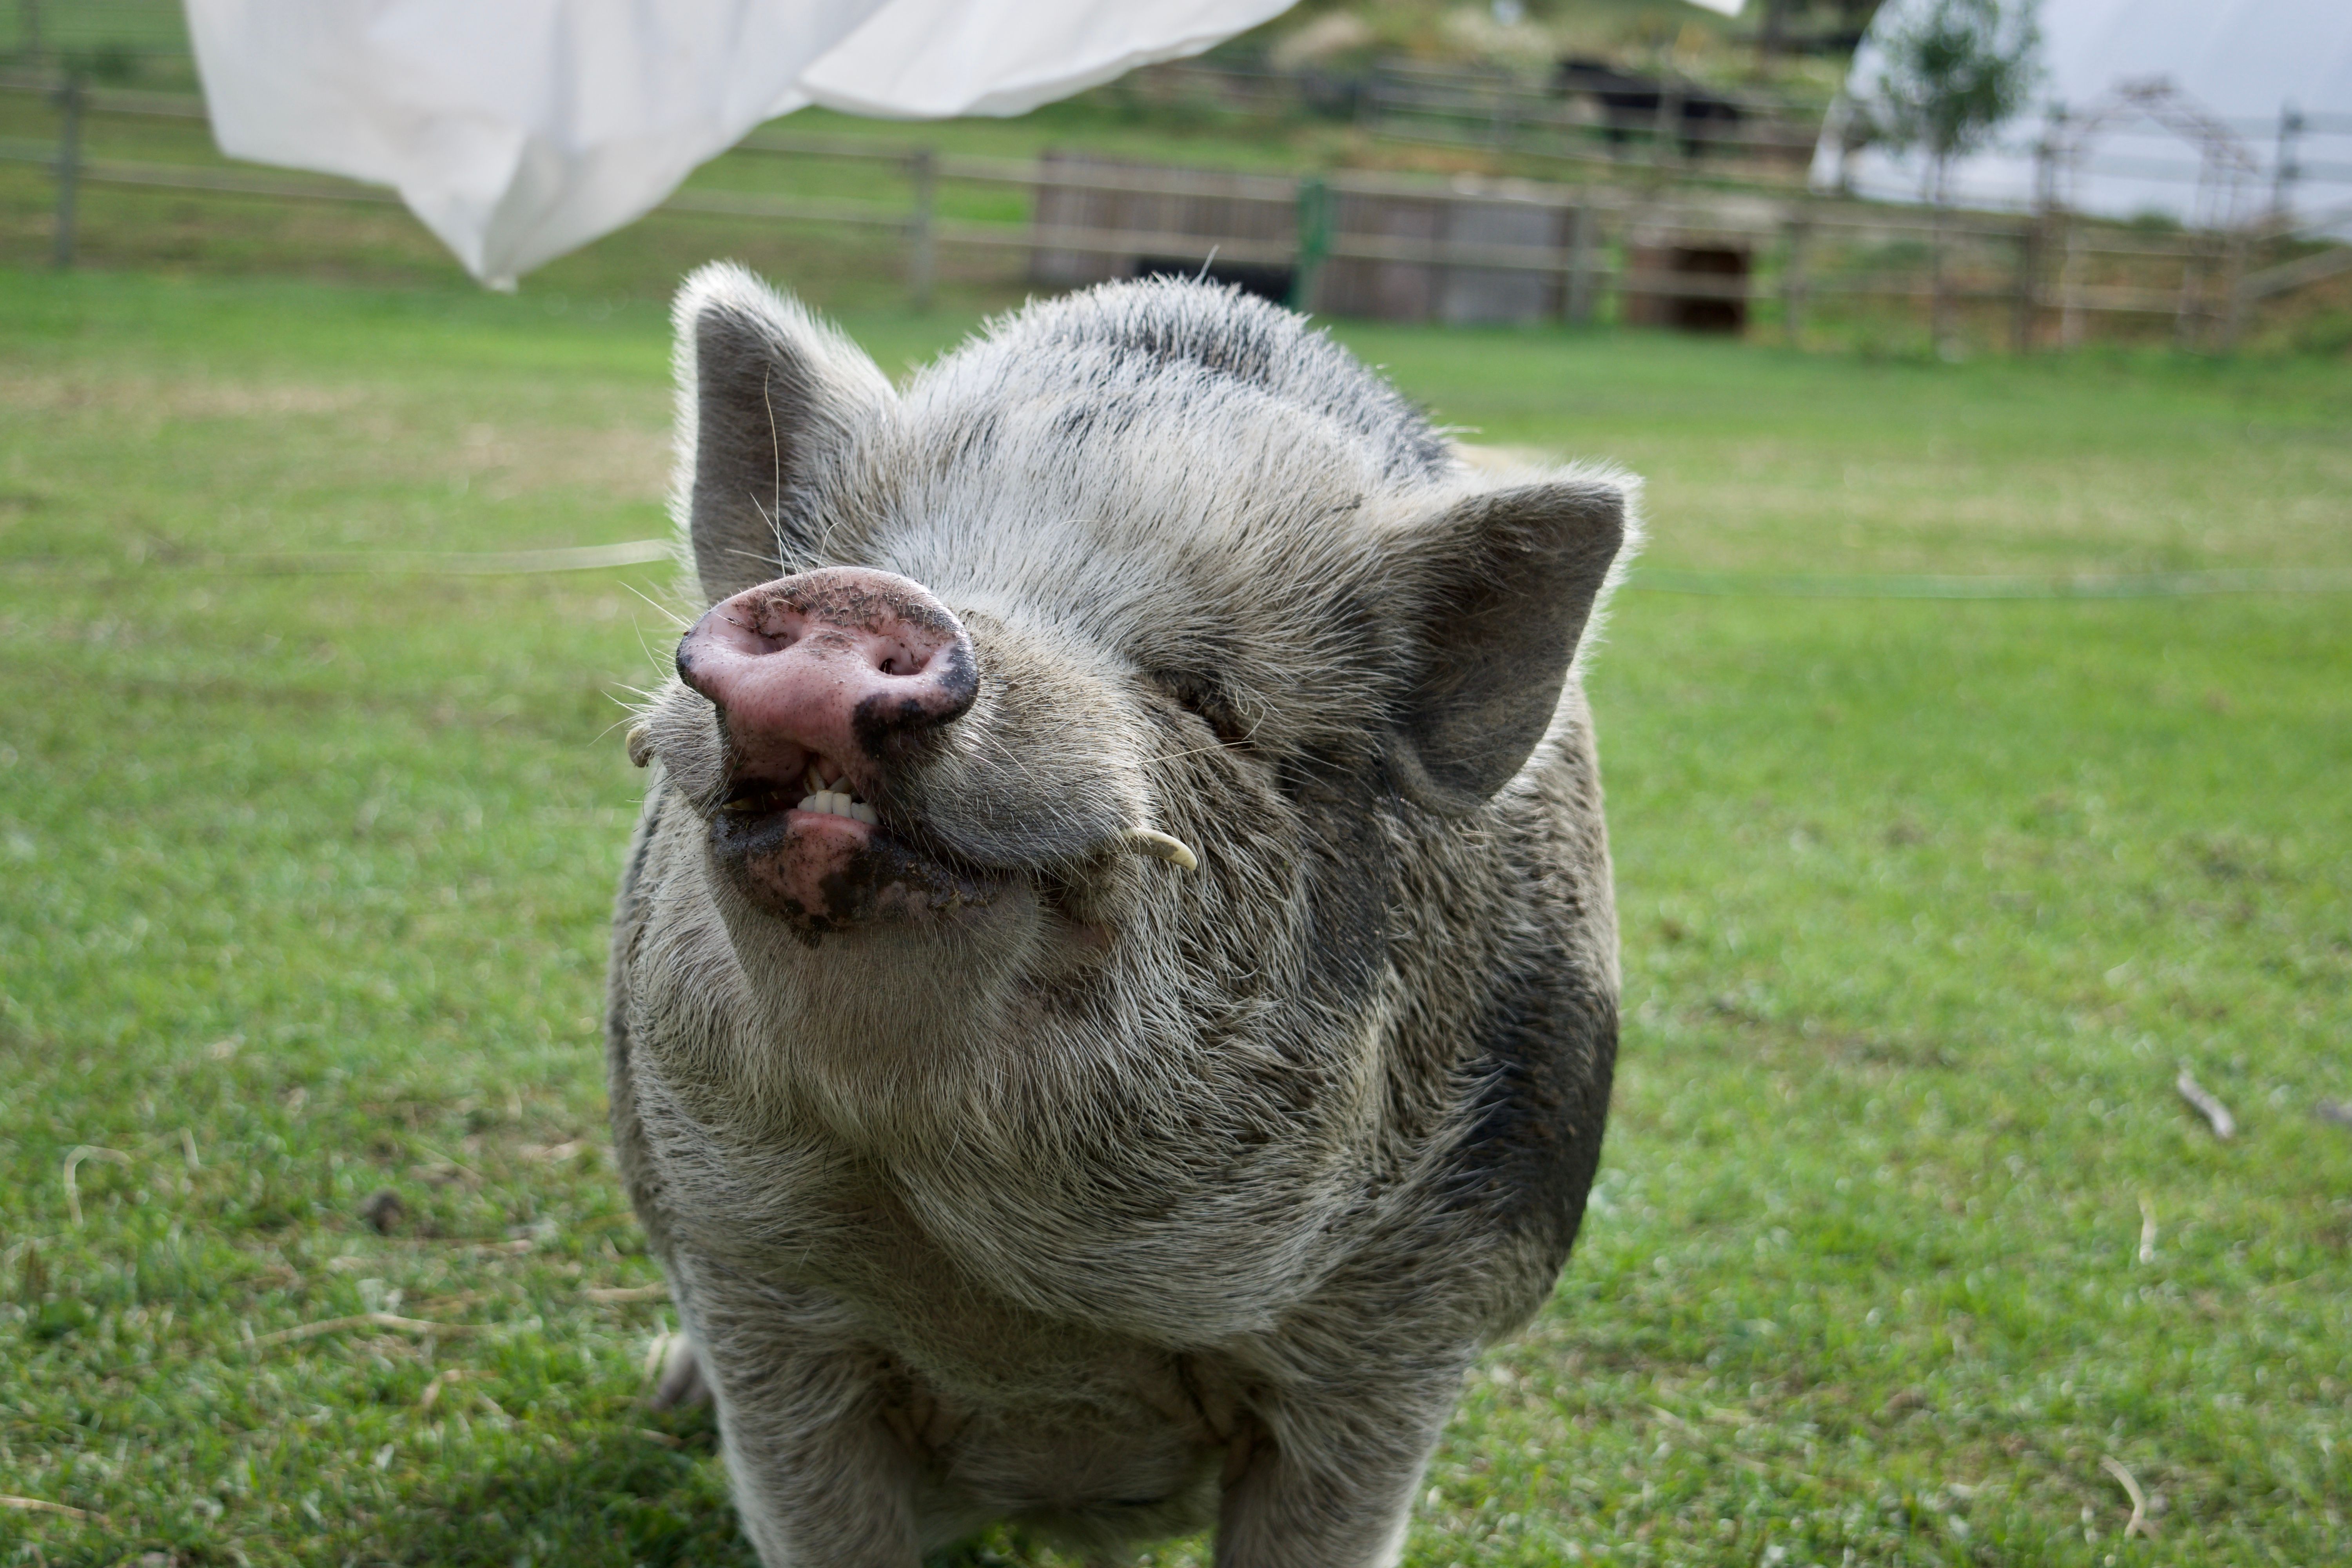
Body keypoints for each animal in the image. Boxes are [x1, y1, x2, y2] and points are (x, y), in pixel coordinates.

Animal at [608, 262, 1635, 1568]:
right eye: (875, 557)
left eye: (1206, 699)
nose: (866, 598)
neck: (1025, 1318)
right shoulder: (752, 1290)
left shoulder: (1409, 1329)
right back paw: (662, 1391)